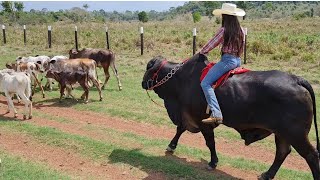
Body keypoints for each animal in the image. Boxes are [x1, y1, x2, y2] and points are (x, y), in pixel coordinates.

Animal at [141, 53, 320, 180]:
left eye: (148, 67)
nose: (142, 83)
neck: (180, 81)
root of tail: (297, 79)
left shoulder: (202, 120)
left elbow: (210, 142)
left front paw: (213, 162)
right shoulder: (188, 115)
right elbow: (180, 129)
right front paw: (171, 146)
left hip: (295, 133)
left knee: (311, 155)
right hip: (282, 133)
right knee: (282, 152)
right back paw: (266, 175)